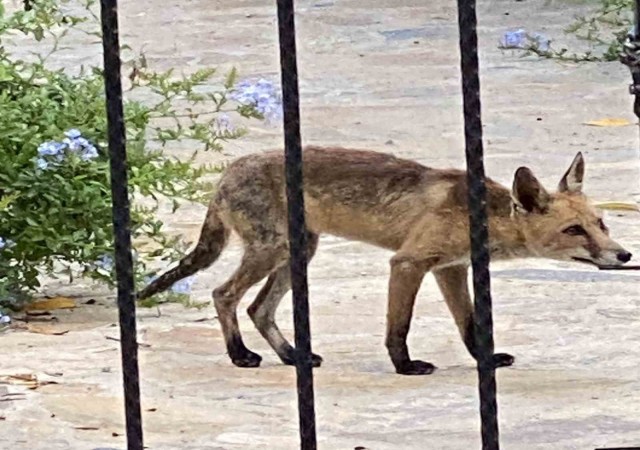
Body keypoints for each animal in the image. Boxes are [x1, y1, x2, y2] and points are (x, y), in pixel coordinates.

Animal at [138, 146, 632, 374]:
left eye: (601, 223)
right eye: (574, 231)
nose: (624, 254)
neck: (477, 213)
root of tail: (225, 173)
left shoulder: (451, 267)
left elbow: (470, 326)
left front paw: (486, 360)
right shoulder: (409, 262)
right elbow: (400, 326)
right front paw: (405, 366)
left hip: (299, 251)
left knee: (259, 308)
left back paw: (293, 356)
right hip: (273, 249)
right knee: (224, 295)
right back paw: (240, 355)